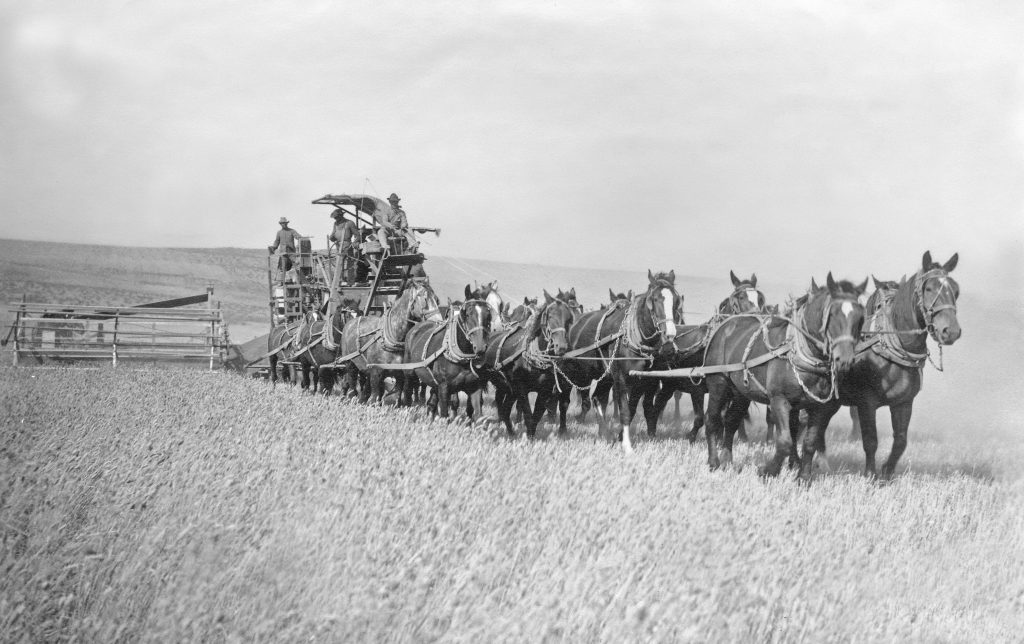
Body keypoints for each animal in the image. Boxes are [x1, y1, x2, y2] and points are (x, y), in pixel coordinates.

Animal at [401, 284, 493, 417]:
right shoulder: (444, 387)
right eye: (468, 314)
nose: (480, 347)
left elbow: (477, 414)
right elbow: (444, 414)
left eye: (488, 315)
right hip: (410, 373)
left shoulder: (475, 387)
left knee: (431, 403)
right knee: (408, 394)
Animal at [481, 292, 577, 436]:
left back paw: (511, 432)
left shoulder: (545, 391)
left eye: (569, 318)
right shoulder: (521, 389)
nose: (562, 347)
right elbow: (527, 413)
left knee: (505, 408)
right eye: (550, 316)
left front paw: (530, 436)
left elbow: (536, 416)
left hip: (507, 387)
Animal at [552, 268, 679, 446]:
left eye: (676, 300)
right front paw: (625, 441)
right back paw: (563, 429)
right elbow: (625, 410)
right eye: (655, 299)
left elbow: (641, 409)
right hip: (570, 372)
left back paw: (603, 433)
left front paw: (631, 435)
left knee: (598, 399)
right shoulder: (621, 379)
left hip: (603, 376)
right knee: (564, 399)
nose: (670, 336)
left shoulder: (647, 382)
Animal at [704, 274, 864, 479]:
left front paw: (803, 477)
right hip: (718, 384)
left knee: (731, 420)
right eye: (833, 314)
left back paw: (726, 460)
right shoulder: (779, 400)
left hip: (741, 391)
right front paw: (768, 471)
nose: (844, 359)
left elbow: (809, 442)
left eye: (860, 317)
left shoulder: (820, 407)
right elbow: (785, 441)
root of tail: (725, 326)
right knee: (712, 419)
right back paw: (713, 462)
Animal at [839, 250, 958, 477]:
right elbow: (871, 440)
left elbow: (901, 441)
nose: (951, 331)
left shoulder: (904, 403)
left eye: (956, 290)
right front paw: (870, 474)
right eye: (928, 288)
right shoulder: (866, 402)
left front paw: (887, 472)